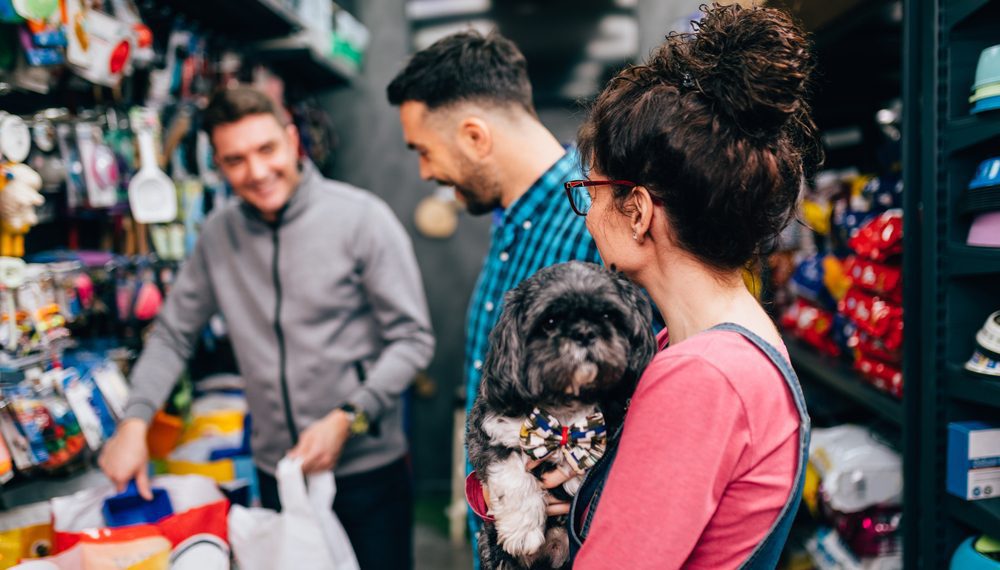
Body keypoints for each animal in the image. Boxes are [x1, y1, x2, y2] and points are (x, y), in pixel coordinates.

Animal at [466, 262, 656, 568]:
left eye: (608, 315)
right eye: (550, 321)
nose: (584, 333)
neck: (564, 405)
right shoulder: (489, 434)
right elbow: (514, 477)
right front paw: (523, 531)